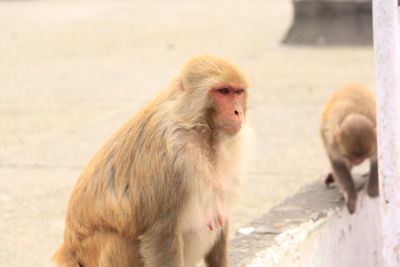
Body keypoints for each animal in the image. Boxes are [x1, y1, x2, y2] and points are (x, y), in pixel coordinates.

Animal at [51, 55, 248, 267]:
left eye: (238, 92)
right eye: (223, 91)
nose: (237, 112)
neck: (196, 125)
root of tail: (68, 254)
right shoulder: (174, 161)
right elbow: (161, 232)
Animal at [318, 82, 378, 215]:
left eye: (363, 156)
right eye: (350, 156)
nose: (357, 162)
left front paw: (373, 189)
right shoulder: (332, 141)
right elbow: (338, 163)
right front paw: (350, 195)